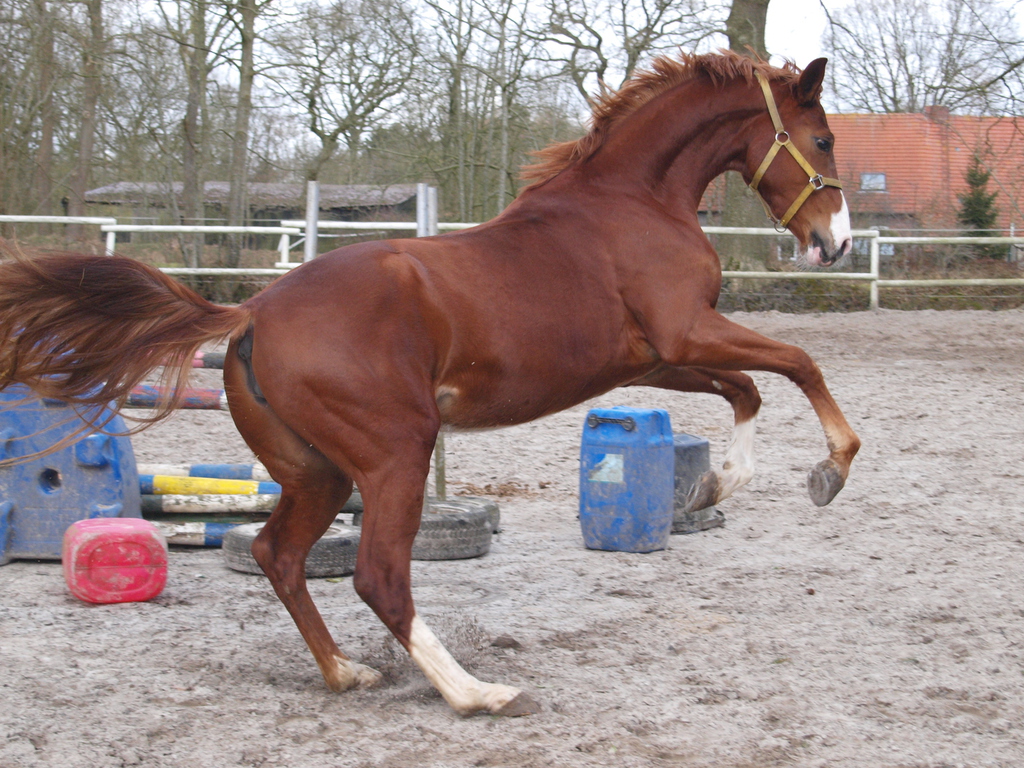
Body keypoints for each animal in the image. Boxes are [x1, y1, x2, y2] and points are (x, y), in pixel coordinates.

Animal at [0, 51, 859, 717]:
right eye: (822, 137)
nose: (836, 245)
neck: (633, 201)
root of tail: (253, 312)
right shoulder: (686, 332)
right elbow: (796, 364)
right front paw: (830, 470)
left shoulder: (658, 356)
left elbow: (748, 389)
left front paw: (716, 485)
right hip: (396, 455)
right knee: (379, 575)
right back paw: (477, 693)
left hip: (318, 472)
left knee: (280, 555)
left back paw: (345, 672)